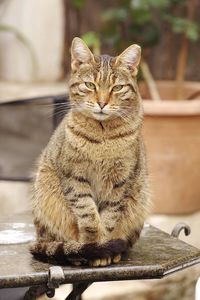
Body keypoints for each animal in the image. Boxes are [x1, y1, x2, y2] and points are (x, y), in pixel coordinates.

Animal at [30, 37, 150, 268]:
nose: (102, 102)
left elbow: (109, 218)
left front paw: (104, 249)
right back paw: (74, 252)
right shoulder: (74, 177)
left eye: (117, 87)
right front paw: (93, 247)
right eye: (89, 85)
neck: (102, 137)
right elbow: (89, 217)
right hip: (45, 195)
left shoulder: (121, 182)